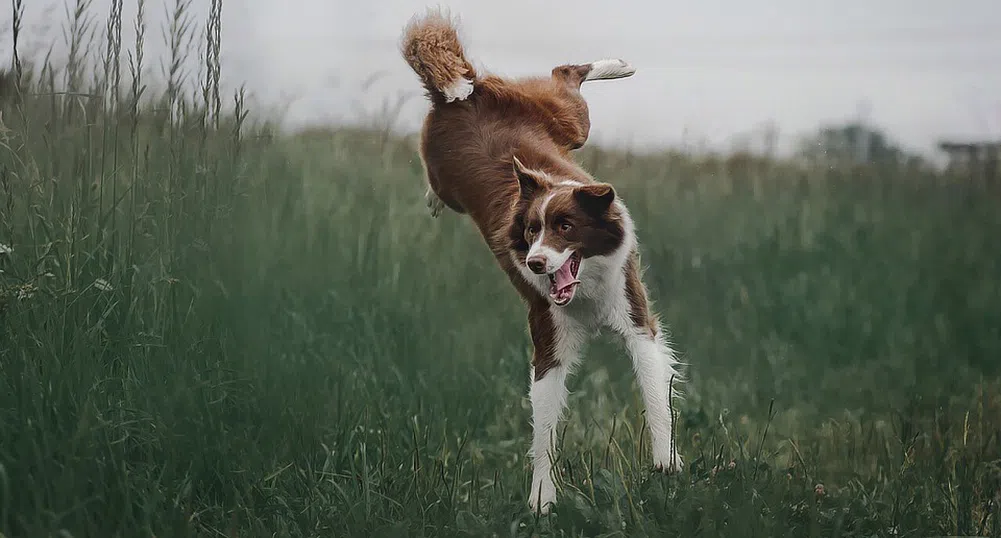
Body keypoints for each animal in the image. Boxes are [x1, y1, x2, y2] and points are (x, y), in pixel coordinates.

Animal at [398, 7, 680, 510]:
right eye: (531, 231)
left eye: (566, 227)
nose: (534, 263)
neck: (586, 289)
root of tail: (460, 96)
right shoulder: (547, 335)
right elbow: (544, 429)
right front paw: (542, 501)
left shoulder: (635, 317)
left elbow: (655, 394)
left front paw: (666, 464)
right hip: (462, 165)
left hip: (569, 122)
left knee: (565, 76)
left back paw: (617, 65)